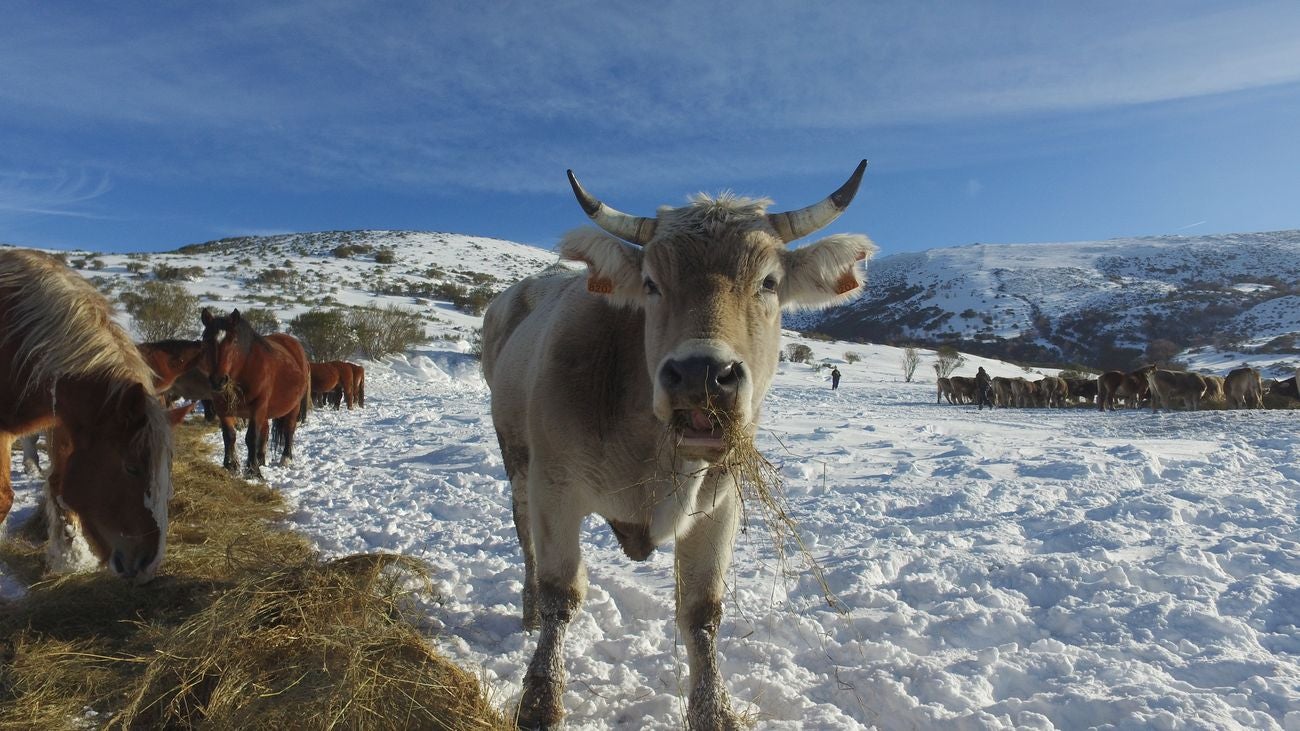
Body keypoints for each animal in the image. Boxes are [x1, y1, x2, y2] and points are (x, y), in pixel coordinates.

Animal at [200, 306, 312, 478]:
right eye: (206, 340)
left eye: (233, 341)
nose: (218, 380)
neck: (245, 368)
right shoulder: (222, 408)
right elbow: (229, 435)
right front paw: (231, 465)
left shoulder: (257, 407)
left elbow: (252, 437)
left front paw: (253, 471)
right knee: (265, 433)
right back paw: (261, 459)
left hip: (293, 407)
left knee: (289, 430)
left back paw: (285, 459)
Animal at [483, 161, 878, 723]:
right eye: (651, 283)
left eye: (769, 282)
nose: (702, 374)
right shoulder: (554, 487)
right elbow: (563, 592)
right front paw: (540, 699)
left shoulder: (720, 503)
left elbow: (701, 611)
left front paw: (714, 709)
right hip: (516, 461)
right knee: (527, 545)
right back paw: (530, 611)